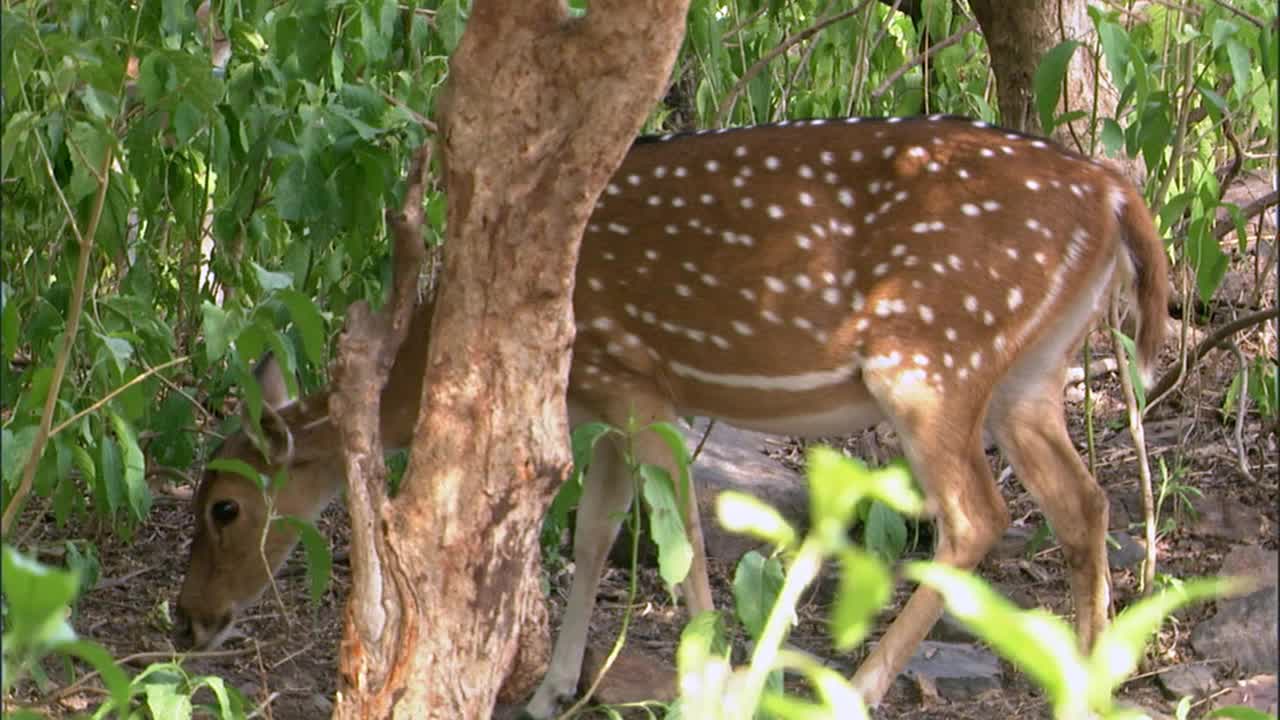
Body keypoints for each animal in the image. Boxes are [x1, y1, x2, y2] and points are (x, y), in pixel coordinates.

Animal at [175, 114, 1167, 707]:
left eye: (223, 507)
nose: (188, 620)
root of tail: (1116, 192)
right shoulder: (604, 395)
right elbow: (594, 531)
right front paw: (551, 692)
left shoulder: (637, 380)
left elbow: (680, 535)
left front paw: (711, 685)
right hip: (1030, 369)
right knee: (1082, 503)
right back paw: (1089, 684)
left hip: (931, 354)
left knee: (977, 515)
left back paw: (853, 688)